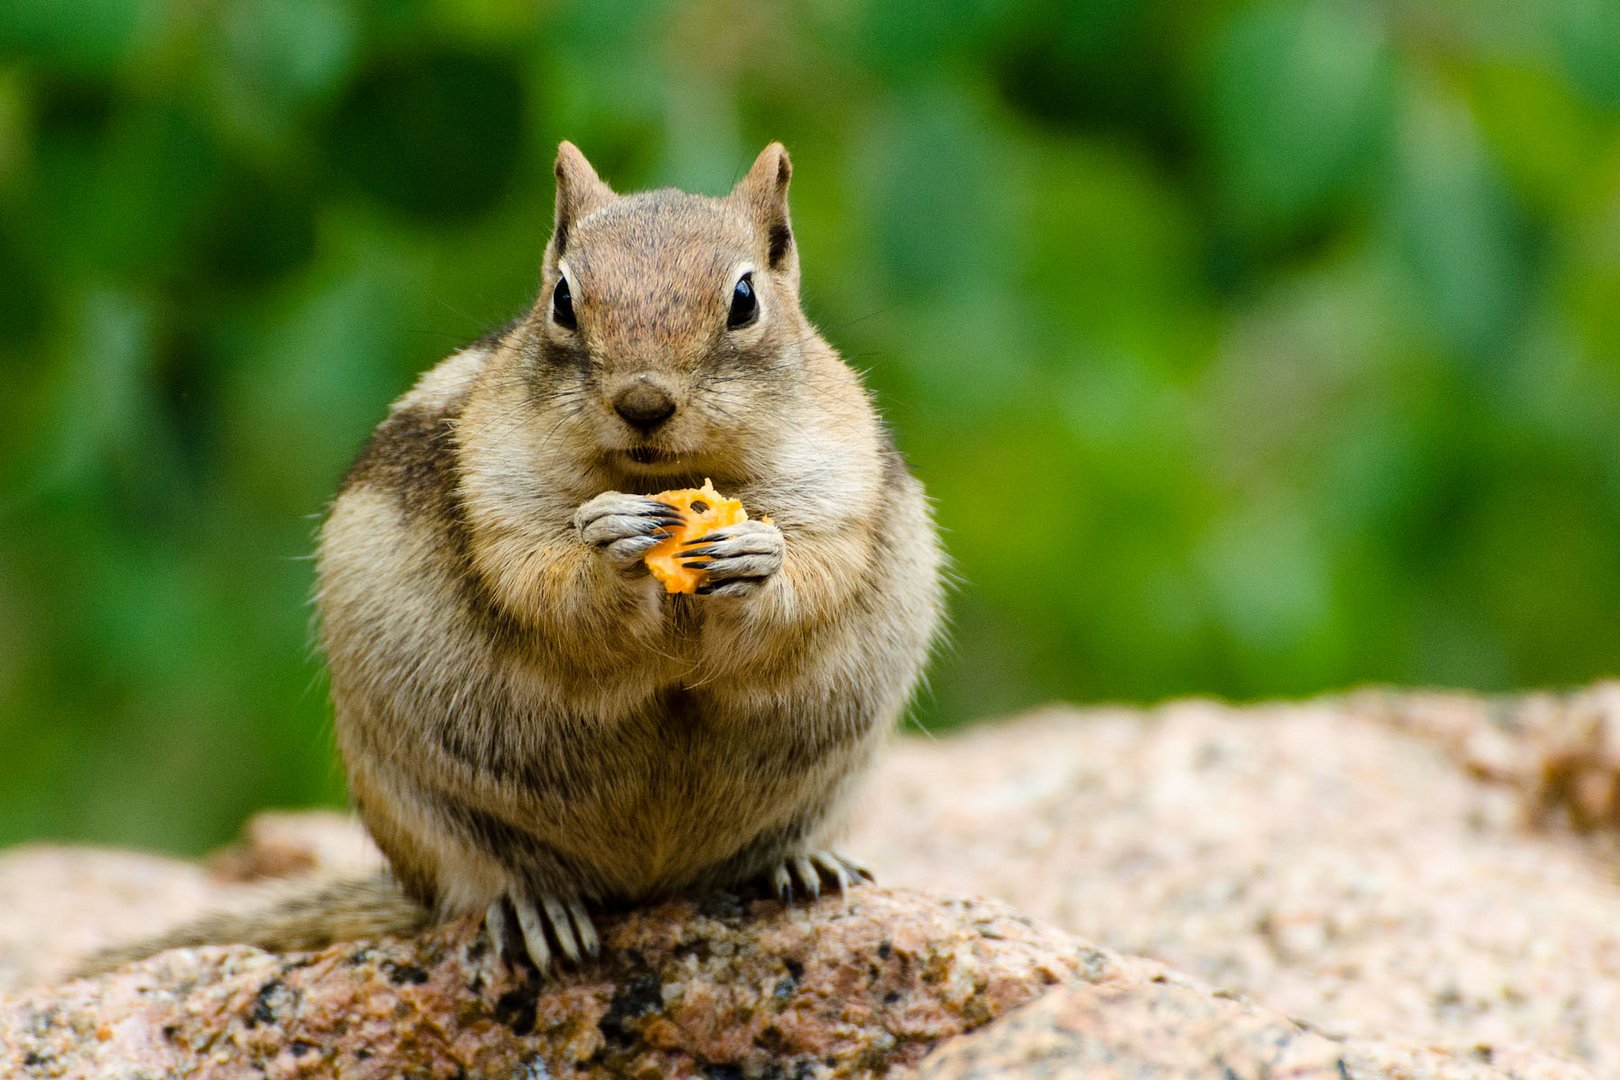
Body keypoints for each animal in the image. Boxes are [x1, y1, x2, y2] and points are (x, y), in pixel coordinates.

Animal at [85, 141, 946, 971]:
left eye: (744, 300)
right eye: (563, 299)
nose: (642, 401)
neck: (658, 476)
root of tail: (647, 883)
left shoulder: (838, 485)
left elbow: (817, 575)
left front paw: (756, 554)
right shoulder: (500, 494)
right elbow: (540, 584)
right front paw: (607, 546)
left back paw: (799, 866)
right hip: (418, 809)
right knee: (480, 881)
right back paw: (537, 910)